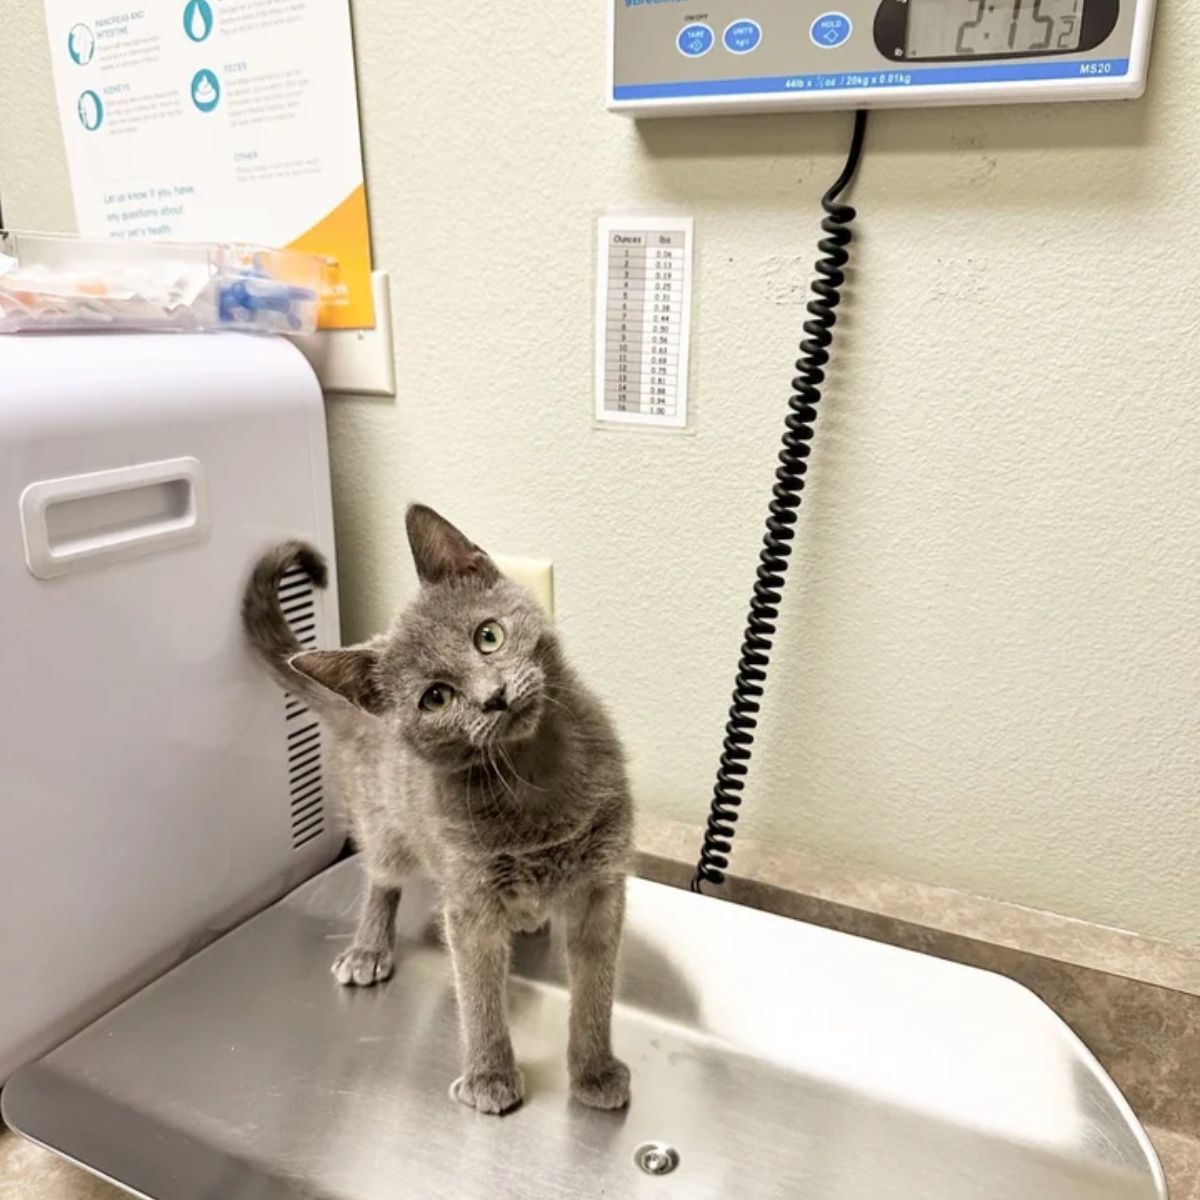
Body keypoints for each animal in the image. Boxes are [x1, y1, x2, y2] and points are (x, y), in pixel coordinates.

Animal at [246, 506, 638, 1113]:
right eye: (436, 698)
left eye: (488, 636)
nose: (494, 696)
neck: (532, 775)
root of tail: (358, 714)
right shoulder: (471, 901)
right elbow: (478, 994)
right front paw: (489, 1076)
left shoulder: (601, 885)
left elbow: (595, 988)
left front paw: (594, 1070)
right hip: (386, 829)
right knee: (381, 880)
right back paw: (368, 948)